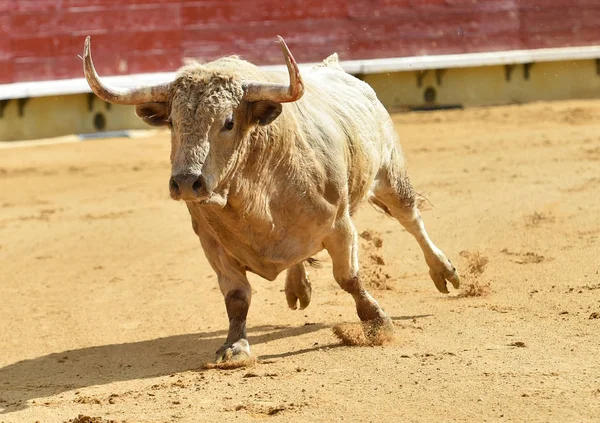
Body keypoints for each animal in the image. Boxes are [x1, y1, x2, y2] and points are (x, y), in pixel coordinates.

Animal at [83, 34, 460, 362]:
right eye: (172, 122)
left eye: (229, 122)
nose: (187, 182)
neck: (255, 191)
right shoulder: (212, 243)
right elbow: (236, 296)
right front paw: (234, 348)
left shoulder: (340, 225)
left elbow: (349, 278)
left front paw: (377, 323)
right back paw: (298, 287)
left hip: (390, 175)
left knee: (411, 219)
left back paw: (444, 271)